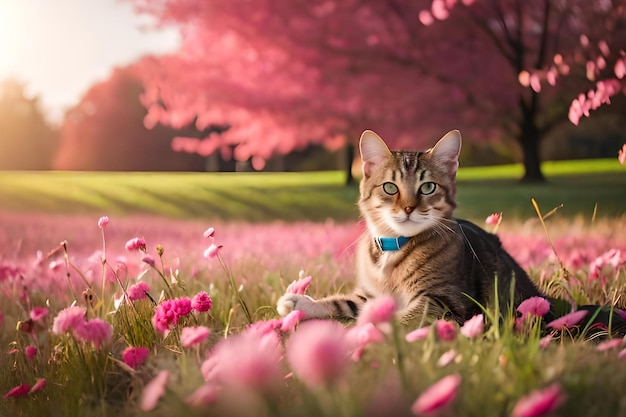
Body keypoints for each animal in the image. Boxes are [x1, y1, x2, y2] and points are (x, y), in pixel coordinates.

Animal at [272, 130, 540, 324]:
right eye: (390, 187)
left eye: (428, 187)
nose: (409, 208)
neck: (394, 245)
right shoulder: (371, 296)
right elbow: (343, 301)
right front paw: (302, 303)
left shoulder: (444, 300)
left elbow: (403, 319)